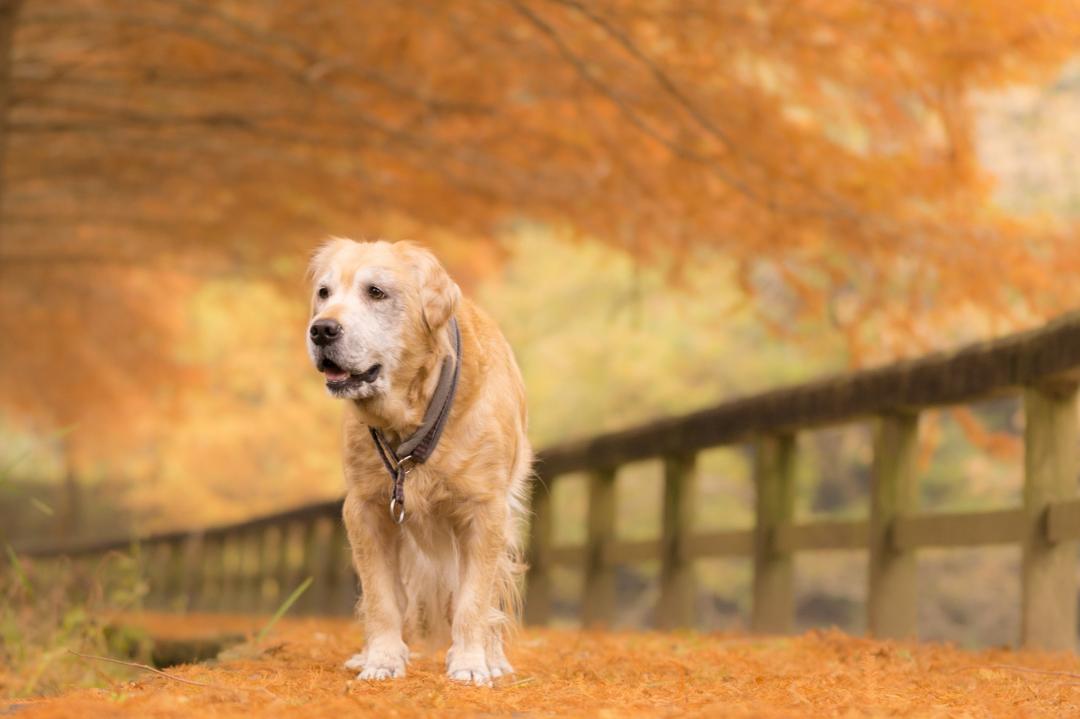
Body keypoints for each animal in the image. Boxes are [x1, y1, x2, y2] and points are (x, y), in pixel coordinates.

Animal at [306, 236, 529, 682]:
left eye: (376, 292)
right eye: (324, 293)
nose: (321, 329)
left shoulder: (486, 510)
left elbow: (474, 600)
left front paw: (471, 663)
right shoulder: (365, 509)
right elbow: (382, 598)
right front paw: (382, 659)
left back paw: (493, 657)